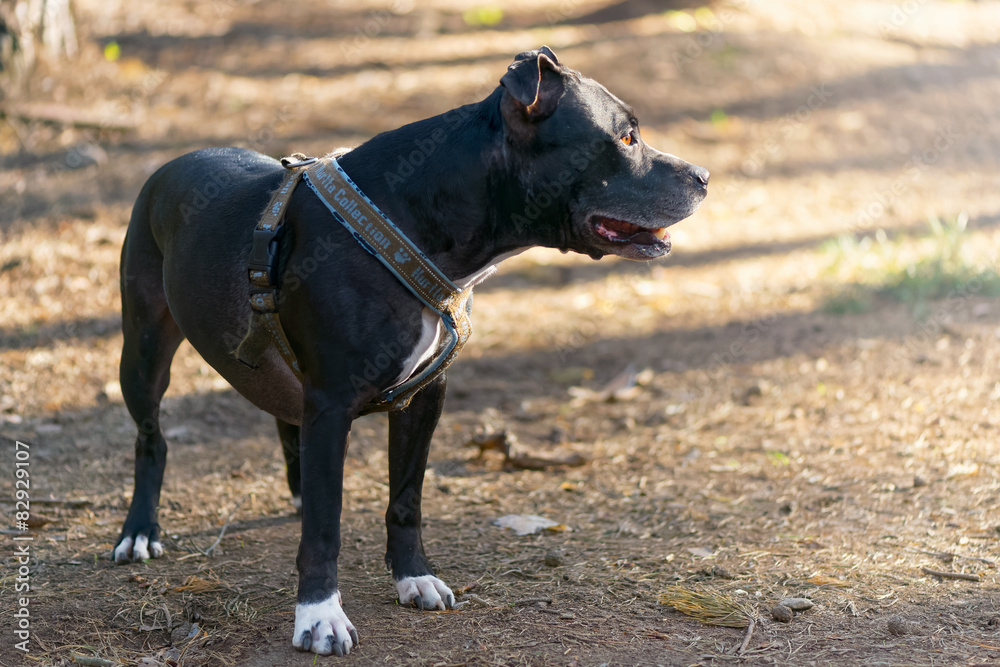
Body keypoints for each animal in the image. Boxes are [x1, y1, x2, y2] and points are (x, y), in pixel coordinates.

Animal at [113, 47, 708, 656]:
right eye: (627, 137)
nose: (705, 177)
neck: (417, 217)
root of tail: (174, 162)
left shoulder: (423, 396)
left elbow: (405, 499)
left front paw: (413, 577)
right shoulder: (331, 402)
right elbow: (325, 527)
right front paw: (319, 615)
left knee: (283, 416)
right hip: (143, 349)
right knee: (151, 439)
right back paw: (140, 531)